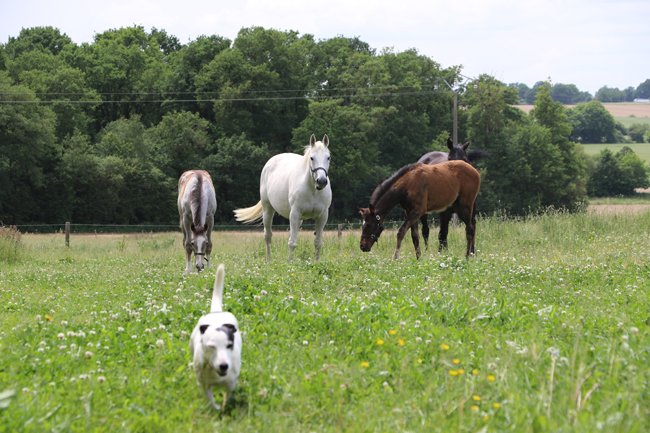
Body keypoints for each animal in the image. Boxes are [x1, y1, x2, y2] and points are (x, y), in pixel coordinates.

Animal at [189, 263, 242, 411]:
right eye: (211, 347)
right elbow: (210, 400)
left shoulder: (230, 383)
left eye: (229, 345)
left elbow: (227, 397)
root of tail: (216, 311)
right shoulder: (204, 385)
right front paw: (216, 409)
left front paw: (224, 407)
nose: (224, 366)